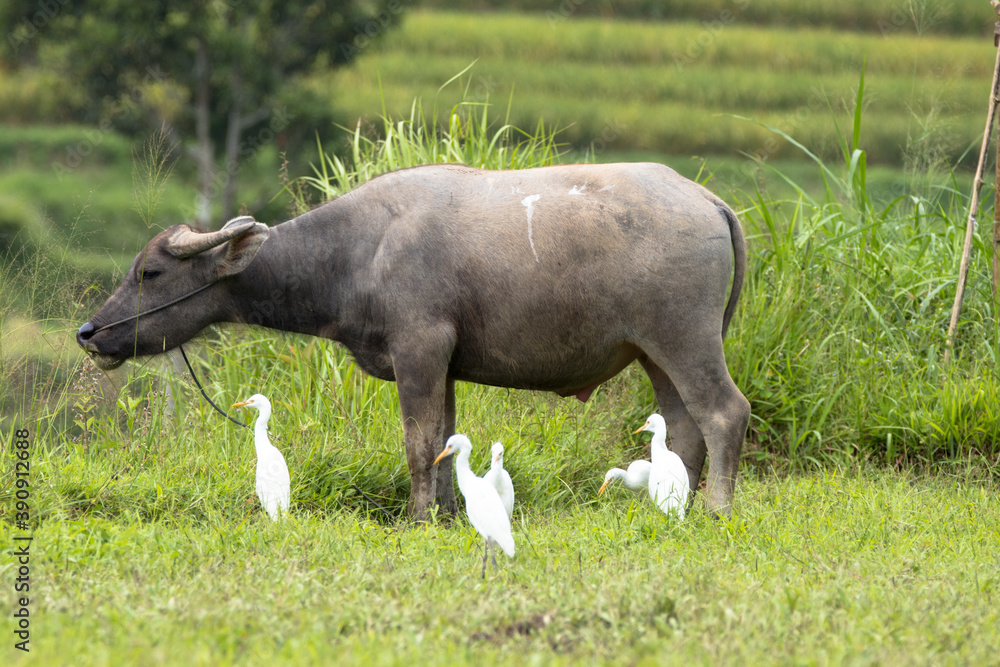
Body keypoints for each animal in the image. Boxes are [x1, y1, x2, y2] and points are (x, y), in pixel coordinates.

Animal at [78, 160, 752, 516]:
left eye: (149, 272)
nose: (89, 332)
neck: (358, 251)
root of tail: (707, 200)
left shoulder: (419, 351)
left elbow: (418, 440)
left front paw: (418, 517)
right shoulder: (444, 364)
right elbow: (445, 440)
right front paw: (453, 514)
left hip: (685, 339)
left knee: (724, 412)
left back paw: (715, 507)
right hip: (654, 352)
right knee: (684, 424)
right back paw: (673, 503)